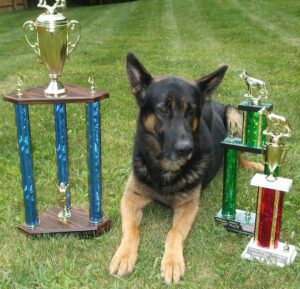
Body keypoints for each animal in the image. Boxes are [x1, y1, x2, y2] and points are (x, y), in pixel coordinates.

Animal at [110, 53, 258, 282]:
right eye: (163, 109)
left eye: (191, 112)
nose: (186, 148)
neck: (166, 169)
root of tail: (212, 99)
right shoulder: (130, 198)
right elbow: (131, 229)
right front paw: (124, 255)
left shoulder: (189, 206)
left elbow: (174, 233)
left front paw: (172, 262)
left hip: (234, 117)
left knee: (239, 155)